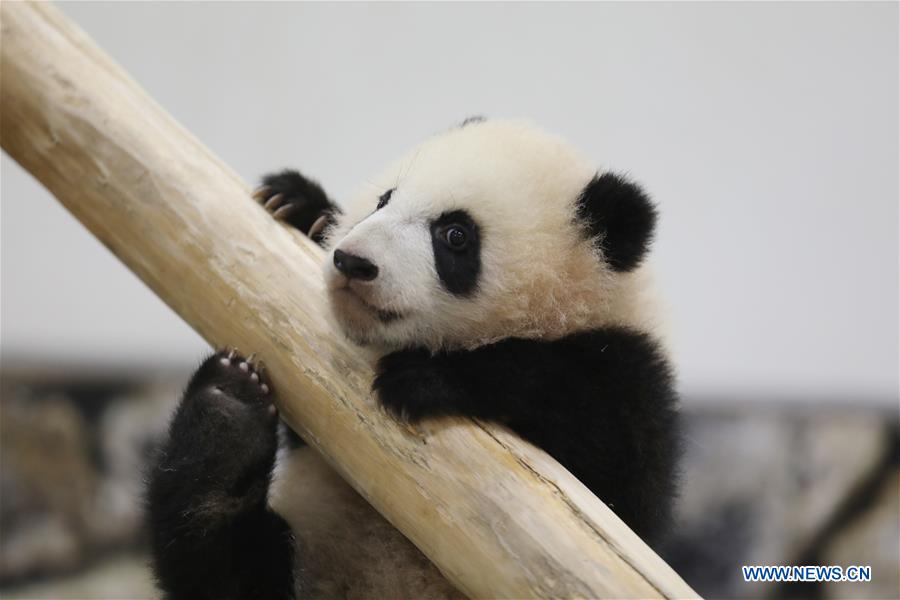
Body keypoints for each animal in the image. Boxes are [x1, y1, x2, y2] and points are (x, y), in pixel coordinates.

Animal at [146, 118, 679, 600]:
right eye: (385, 200)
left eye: (455, 235)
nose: (353, 262)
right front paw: (301, 204)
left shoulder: (631, 380)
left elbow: (607, 449)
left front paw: (423, 378)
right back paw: (223, 421)